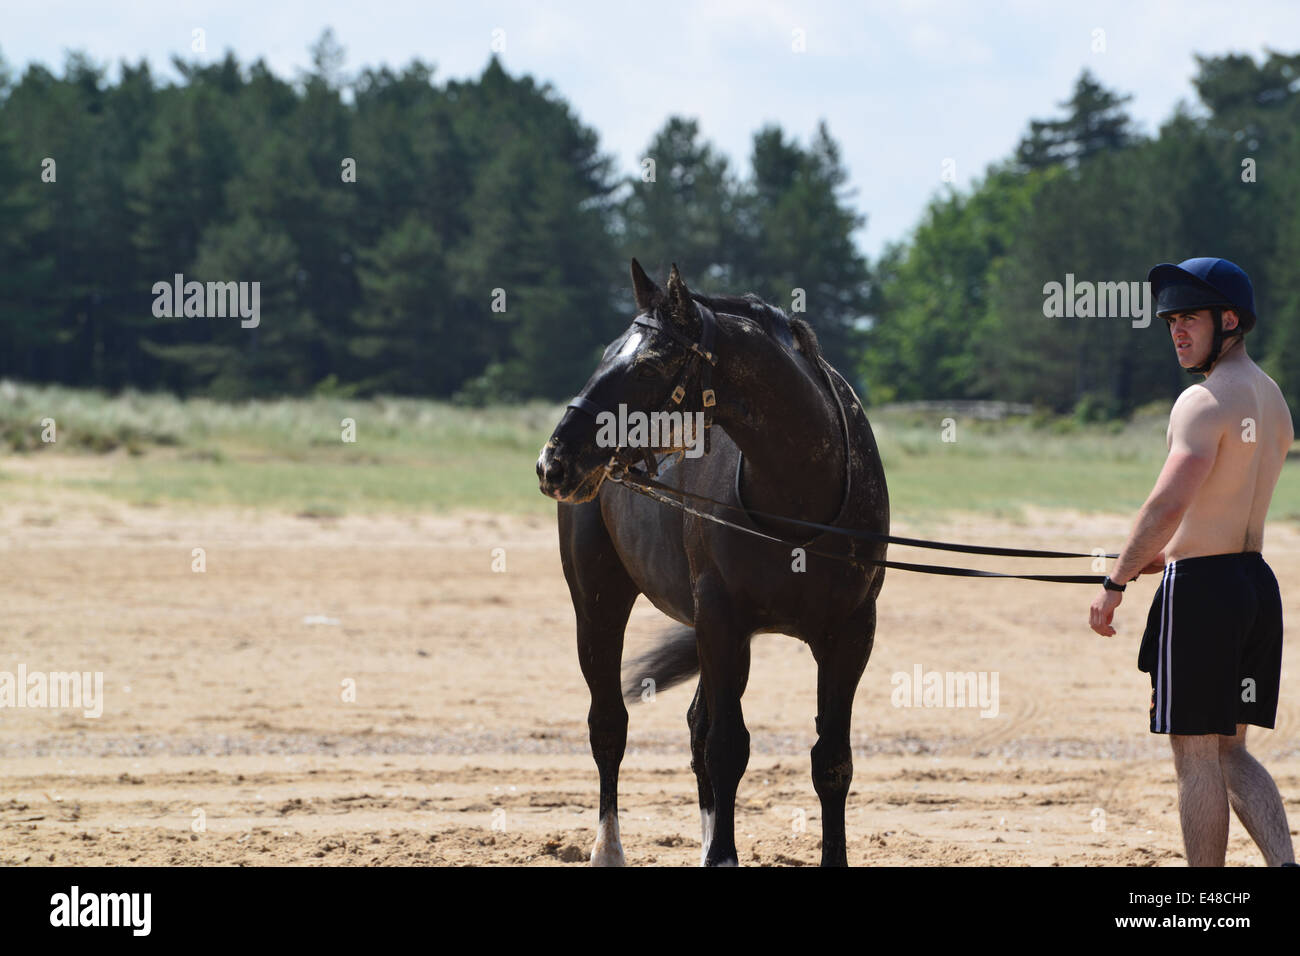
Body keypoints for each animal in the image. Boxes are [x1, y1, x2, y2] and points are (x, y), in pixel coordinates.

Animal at [533, 261, 889, 868]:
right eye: (607, 354)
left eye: (649, 363)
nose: (553, 460)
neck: (798, 497)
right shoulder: (722, 620)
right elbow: (726, 747)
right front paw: (723, 855)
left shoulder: (849, 634)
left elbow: (831, 759)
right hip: (600, 603)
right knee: (610, 725)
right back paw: (608, 848)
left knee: (696, 725)